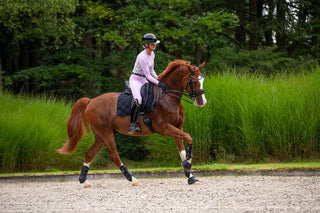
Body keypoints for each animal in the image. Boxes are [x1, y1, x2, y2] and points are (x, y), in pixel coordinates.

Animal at [57, 59, 208, 187]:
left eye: (202, 80)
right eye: (194, 82)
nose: (202, 102)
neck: (168, 97)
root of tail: (90, 101)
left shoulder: (177, 127)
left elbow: (181, 150)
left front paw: (190, 175)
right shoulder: (165, 128)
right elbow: (188, 138)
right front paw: (188, 163)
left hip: (100, 136)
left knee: (89, 153)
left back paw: (83, 180)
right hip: (106, 133)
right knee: (114, 155)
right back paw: (133, 179)